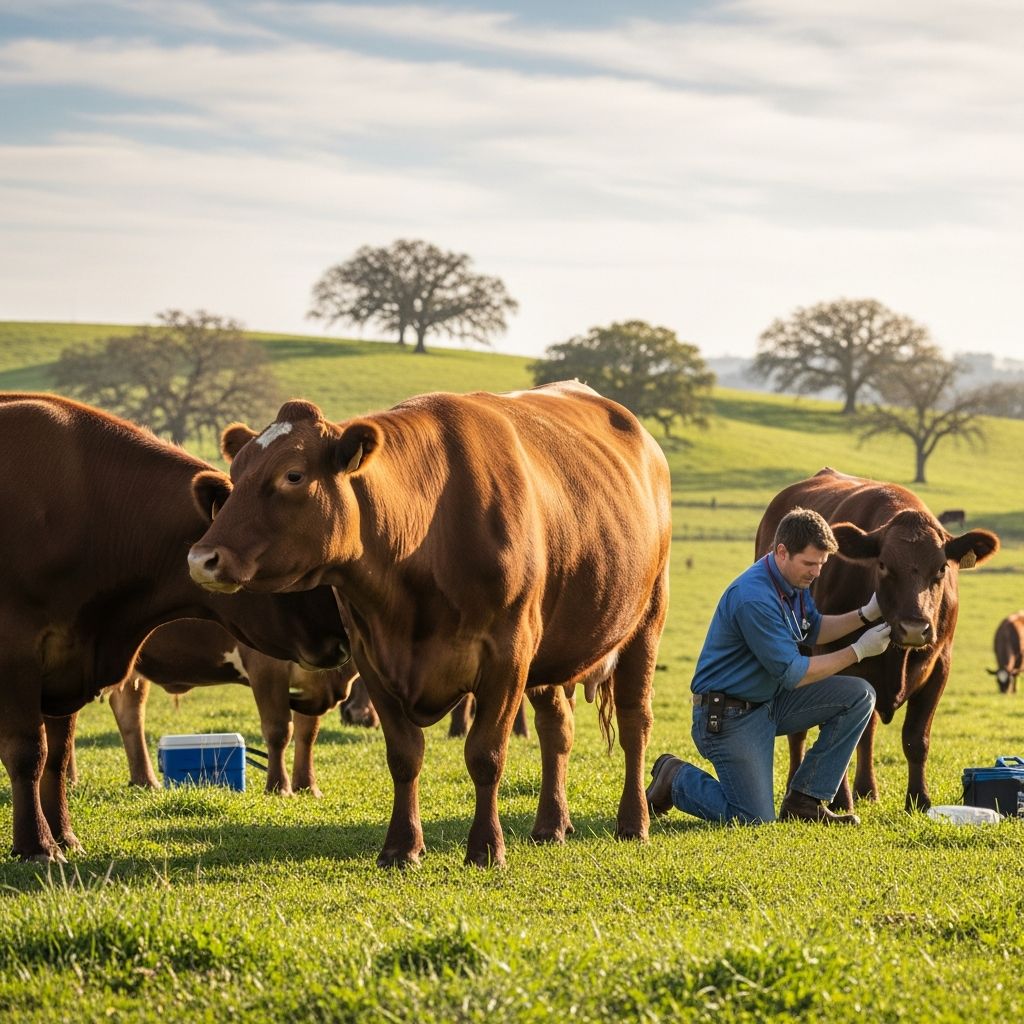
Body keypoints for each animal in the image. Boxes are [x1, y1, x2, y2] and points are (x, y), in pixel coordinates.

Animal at [95, 619, 361, 796]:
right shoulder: (266, 664)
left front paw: (307, 787)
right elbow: (279, 730)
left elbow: (307, 733)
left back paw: (146, 781)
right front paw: (279, 788)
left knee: (129, 713)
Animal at [187, 381, 672, 867]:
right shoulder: (372, 656)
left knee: (635, 723)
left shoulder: (507, 655)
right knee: (557, 730)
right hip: (551, 652)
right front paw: (401, 848)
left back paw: (634, 823)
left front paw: (486, 848)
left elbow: (485, 754)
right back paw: (551, 825)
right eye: (235, 476)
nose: (201, 558)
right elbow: (404, 756)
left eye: (293, 475)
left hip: (646, 622)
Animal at [755, 467, 999, 812]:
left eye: (941, 568)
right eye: (883, 564)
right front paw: (841, 802)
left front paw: (919, 800)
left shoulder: (940, 665)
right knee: (800, 735)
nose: (914, 627)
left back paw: (867, 790)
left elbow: (915, 738)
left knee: (867, 732)